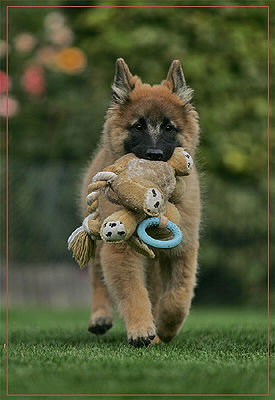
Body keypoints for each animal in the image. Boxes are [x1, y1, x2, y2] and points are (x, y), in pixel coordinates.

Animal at [81, 58, 201, 346]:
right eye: (138, 126)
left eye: (169, 127)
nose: (154, 155)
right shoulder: (119, 250)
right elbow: (132, 292)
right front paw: (141, 329)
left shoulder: (183, 249)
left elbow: (179, 295)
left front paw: (165, 328)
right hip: (96, 235)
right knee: (97, 277)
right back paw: (100, 316)